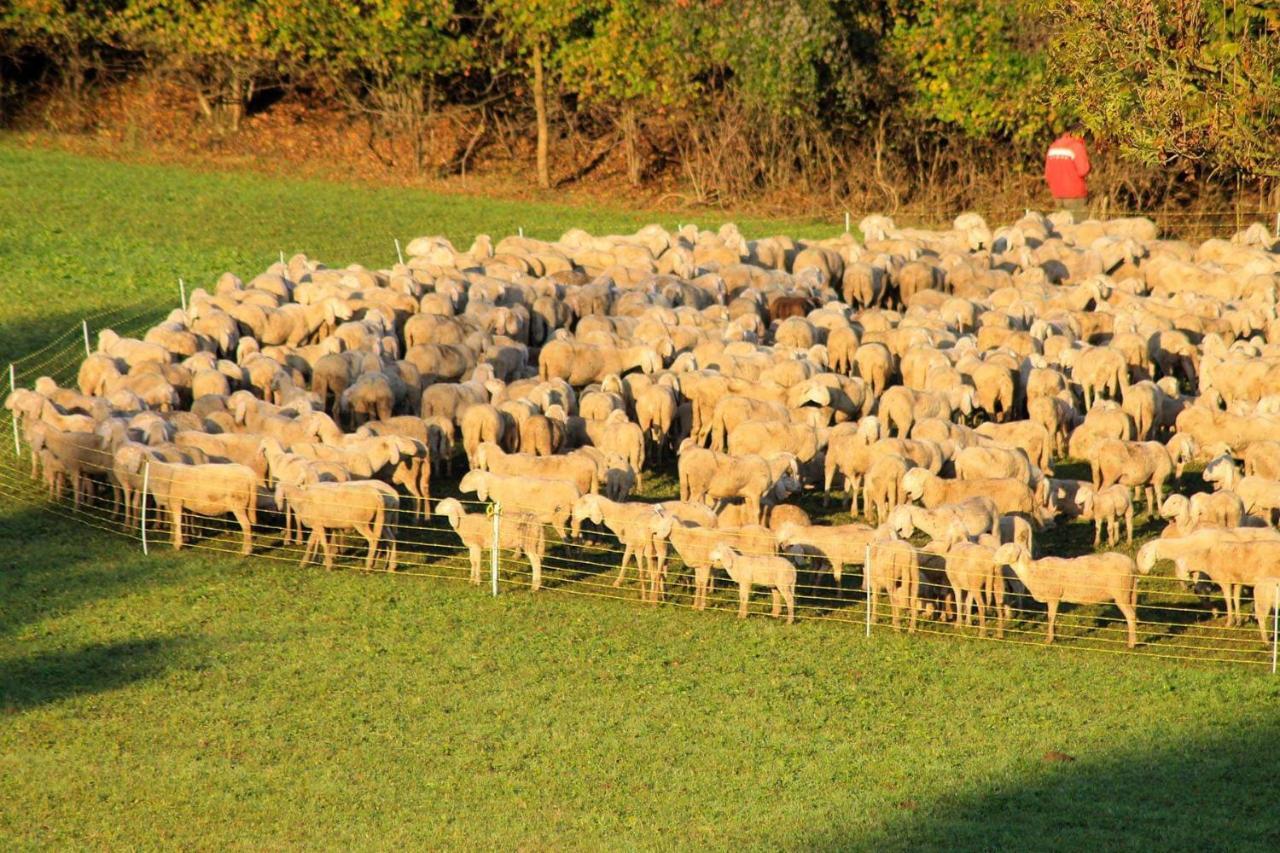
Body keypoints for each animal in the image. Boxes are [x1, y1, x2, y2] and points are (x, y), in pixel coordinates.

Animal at [993, 545, 1146, 645]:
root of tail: (1132, 565)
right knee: (1134, 614)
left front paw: (1049, 639)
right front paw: (1054, 636)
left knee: (1130, 616)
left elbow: (1051, 617)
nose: (993, 559)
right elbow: (1053, 618)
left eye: (1006, 550)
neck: (1033, 571)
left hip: (1120, 592)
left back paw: (1131, 644)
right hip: (1130, 592)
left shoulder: (1053, 596)